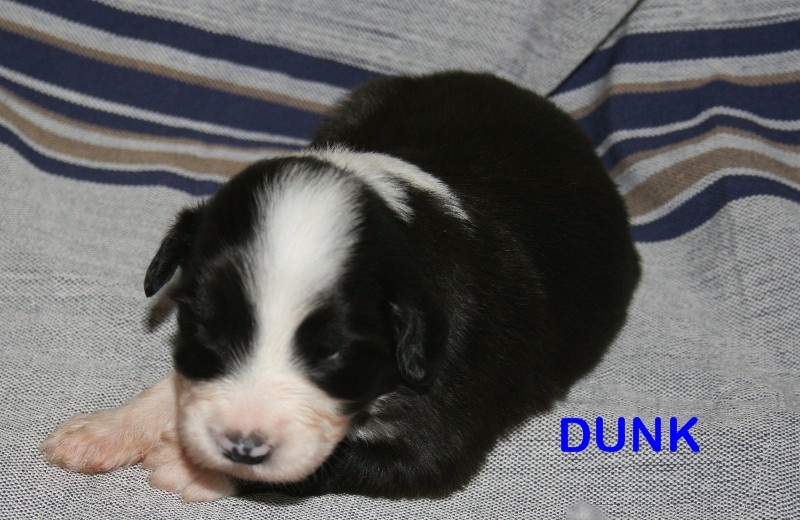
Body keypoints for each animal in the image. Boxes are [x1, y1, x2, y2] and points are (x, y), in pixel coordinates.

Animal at [41, 71, 640, 501]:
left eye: (331, 353)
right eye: (205, 328)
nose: (242, 446)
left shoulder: (437, 438)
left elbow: (327, 464)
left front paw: (193, 471)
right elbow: (179, 383)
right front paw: (103, 431)